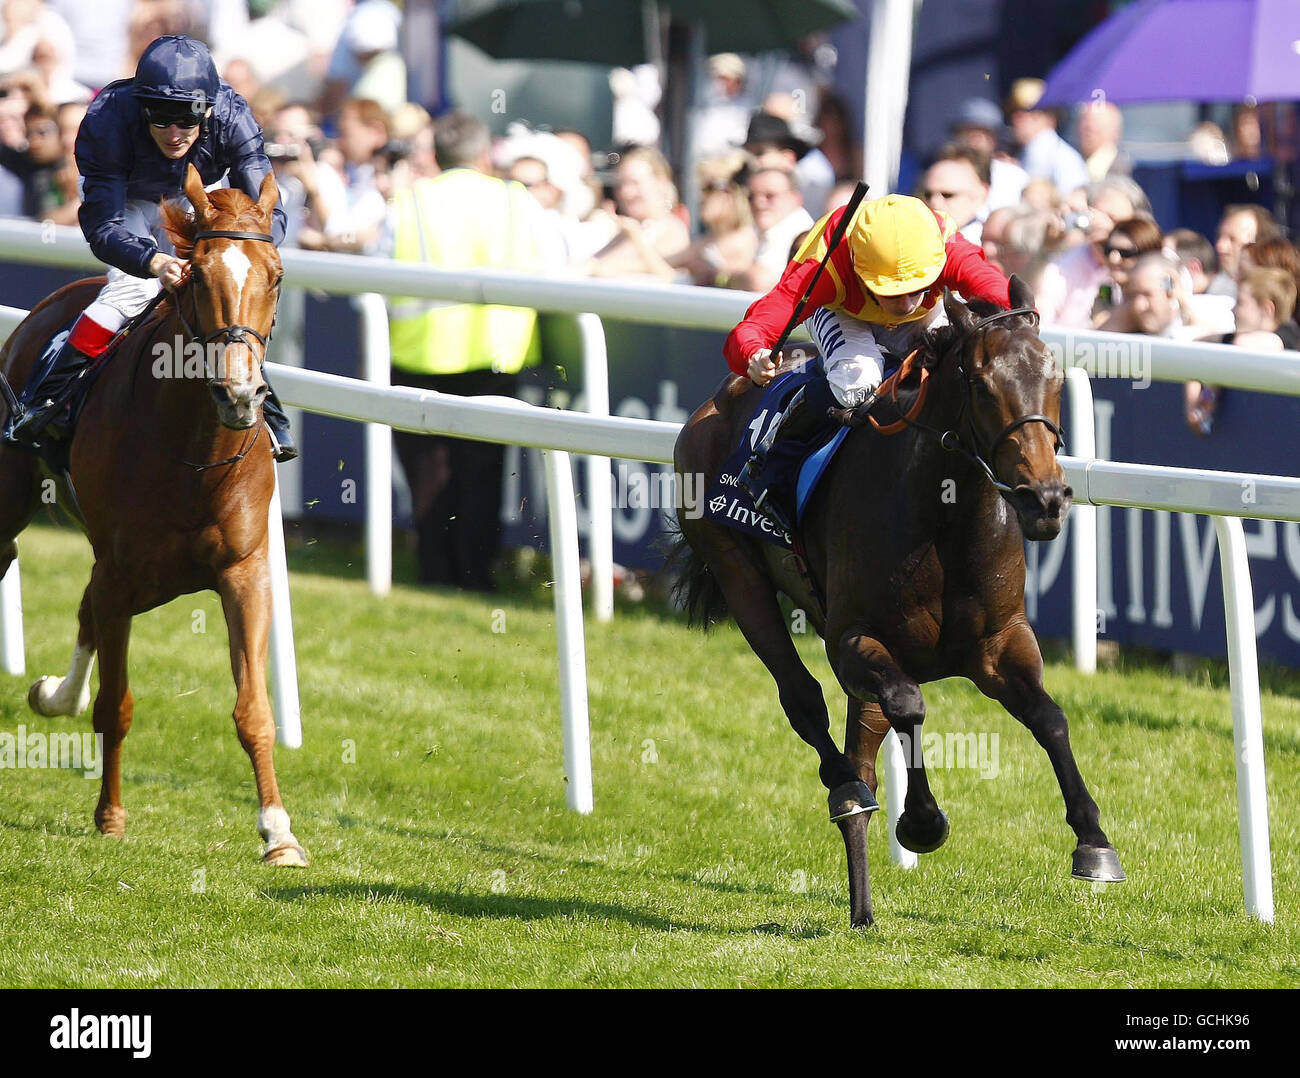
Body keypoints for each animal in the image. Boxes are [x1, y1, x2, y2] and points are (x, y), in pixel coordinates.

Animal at [0, 163, 306, 863]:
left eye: (275, 275)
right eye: (198, 276)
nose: (240, 393)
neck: (196, 453)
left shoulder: (242, 571)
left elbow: (254, 709)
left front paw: (279, 833)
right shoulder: (122, 573)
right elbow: (115, 705)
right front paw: (110, 816)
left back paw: (54, 693)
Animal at [676, 276, 1123, 925]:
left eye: (1055, 377)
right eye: (981, 386)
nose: (1044, 499)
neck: (943, 517)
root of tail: (718, 399)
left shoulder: (1000, 642)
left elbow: (1050, 718)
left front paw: (1093, 843)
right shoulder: (854, 640)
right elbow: (910, 705)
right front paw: (921, 820)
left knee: (860, 752)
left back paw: (862, 907)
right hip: (737, 570)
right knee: (805, 702)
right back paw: (845, 789)